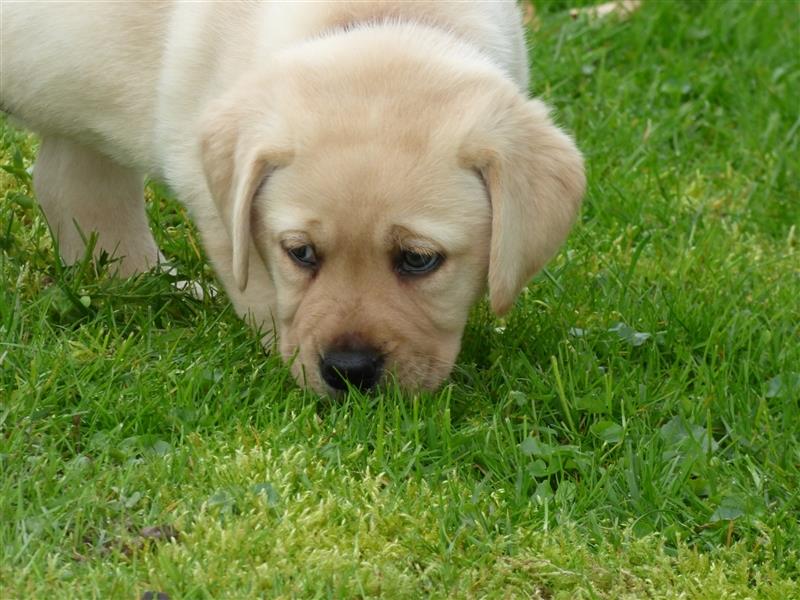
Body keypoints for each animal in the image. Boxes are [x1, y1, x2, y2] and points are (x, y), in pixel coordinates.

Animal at [1, 1, 588, 394]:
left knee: (73, 188)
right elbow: (262, 291)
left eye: (419, 260)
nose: (348, 373)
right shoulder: (216, 203)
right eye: (300, 253)